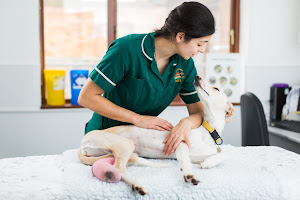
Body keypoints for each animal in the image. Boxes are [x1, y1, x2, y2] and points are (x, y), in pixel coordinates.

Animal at [78, 76, 233, 195]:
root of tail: (82, 144)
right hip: (125, 144)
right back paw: (137, 185)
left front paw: (209, 162)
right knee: (119, 169)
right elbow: (186, 162)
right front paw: (188, 175)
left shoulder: (197, 155)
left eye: (216, 89)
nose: (197, 77)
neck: (207, 132)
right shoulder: (180, 144)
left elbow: (224, 154)